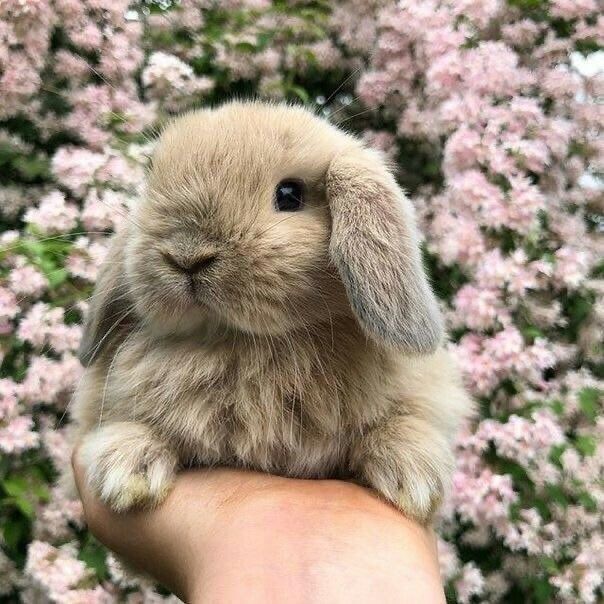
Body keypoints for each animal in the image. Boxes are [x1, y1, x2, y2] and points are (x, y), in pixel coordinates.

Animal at [71, 100, 474, 524]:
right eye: (151, 181)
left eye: (290, 194)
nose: (187, 256)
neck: (239, 342)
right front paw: (125, 468)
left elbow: (403, 422)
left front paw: (413, 477)